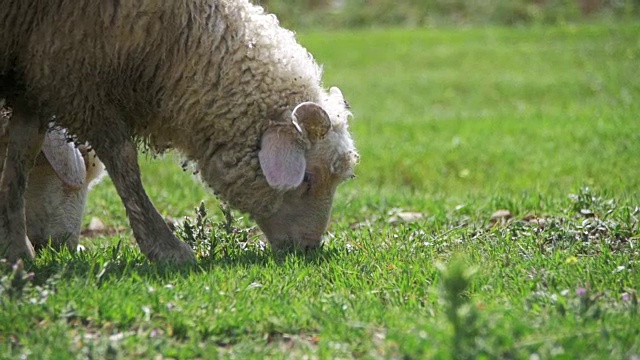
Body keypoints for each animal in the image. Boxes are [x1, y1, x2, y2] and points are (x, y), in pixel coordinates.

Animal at [0, 0, 360, 264]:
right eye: (308, 178)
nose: (310, 248)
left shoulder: (39, 76)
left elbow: (21, 153)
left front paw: (16, 250)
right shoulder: (74, 76)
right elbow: (123, 161)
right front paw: (166, 248)